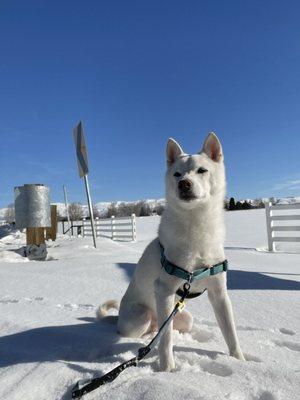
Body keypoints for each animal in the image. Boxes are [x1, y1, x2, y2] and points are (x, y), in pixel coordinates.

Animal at [98, 134, 244, 372]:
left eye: (201, 170)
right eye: (177, 173)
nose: (183, 183)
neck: (196, 226)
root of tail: (119, 317)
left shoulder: (220, 293)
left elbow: (230, 333)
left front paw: (239, 360)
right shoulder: (164, 291)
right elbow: (166, 340)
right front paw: (167, 369)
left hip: (184, 317)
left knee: (168, 327)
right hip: (140, 317)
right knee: (151, 331)